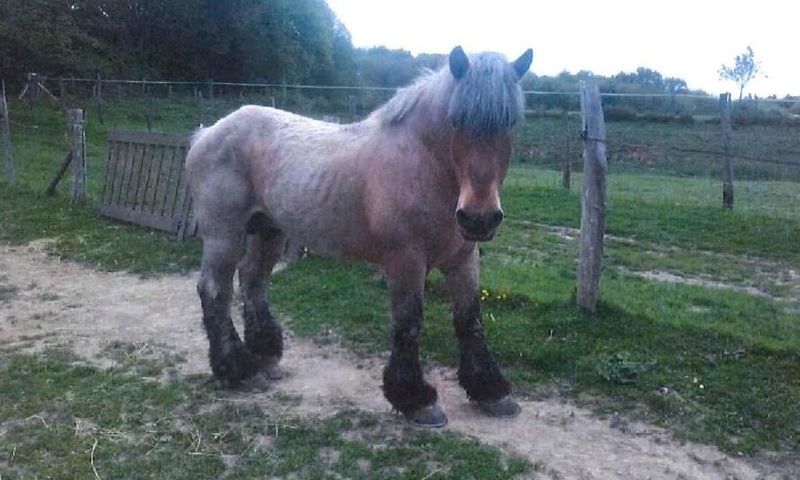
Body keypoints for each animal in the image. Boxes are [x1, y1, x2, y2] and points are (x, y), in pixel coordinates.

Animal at [185, 46, 536, 428]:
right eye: (456, 120)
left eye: (511, 123)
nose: (478, 218)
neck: (423, 163)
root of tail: (207, 133)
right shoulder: (406, 259)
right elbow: (408, 322)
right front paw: (415, 398)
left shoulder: (462, 258)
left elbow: (470, 320)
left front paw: (491, 390)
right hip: (223, 235)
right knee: (215, 290)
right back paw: (238, 370)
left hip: (268, 230)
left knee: (253, 280)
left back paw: (265, 356)